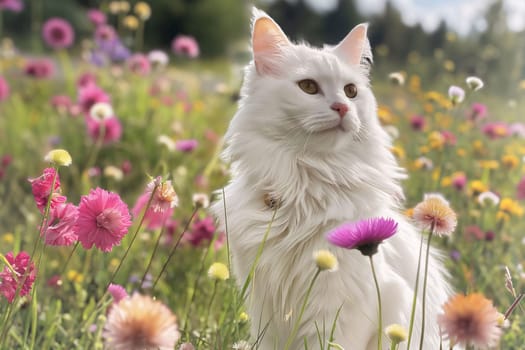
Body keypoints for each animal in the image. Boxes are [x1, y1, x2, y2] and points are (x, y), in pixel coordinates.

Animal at [211, 8, 448, 350]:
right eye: (308, 87)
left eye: (351, 91)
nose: (342, 107)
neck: (306, 183)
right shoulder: (262, 302)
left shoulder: (342, 303)